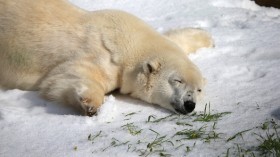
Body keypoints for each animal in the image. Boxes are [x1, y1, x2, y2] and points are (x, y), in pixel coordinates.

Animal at [0, 0, 212, 115]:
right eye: (177, 81)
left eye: (199, 89)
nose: (189, 104)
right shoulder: (105, 56)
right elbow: (67, 76)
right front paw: (91, 104)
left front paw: (207, 38)